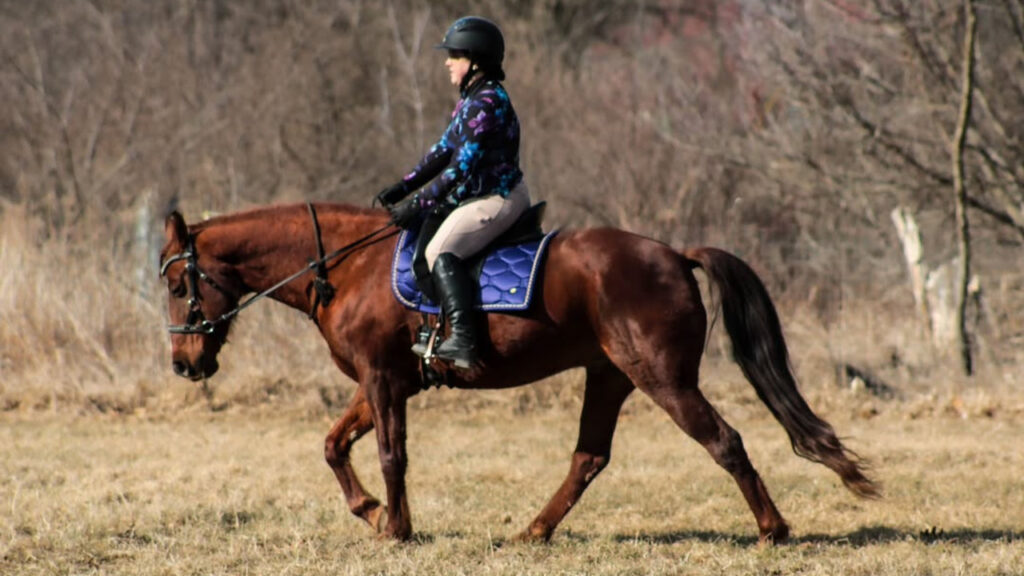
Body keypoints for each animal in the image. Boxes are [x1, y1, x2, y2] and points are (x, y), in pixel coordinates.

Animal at [159, 202, 879, 544]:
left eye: (173, 283)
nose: (184, 364)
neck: (347, 267)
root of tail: (674, 254)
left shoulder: (384, 380)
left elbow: (391, 454)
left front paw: (396, 529)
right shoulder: (381, 381)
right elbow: (335, 444)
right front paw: (371, 513)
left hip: (664, 380)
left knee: (724, 442)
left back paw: (772, 531)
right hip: (609, 376)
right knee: (589, 457)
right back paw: (533, 531)